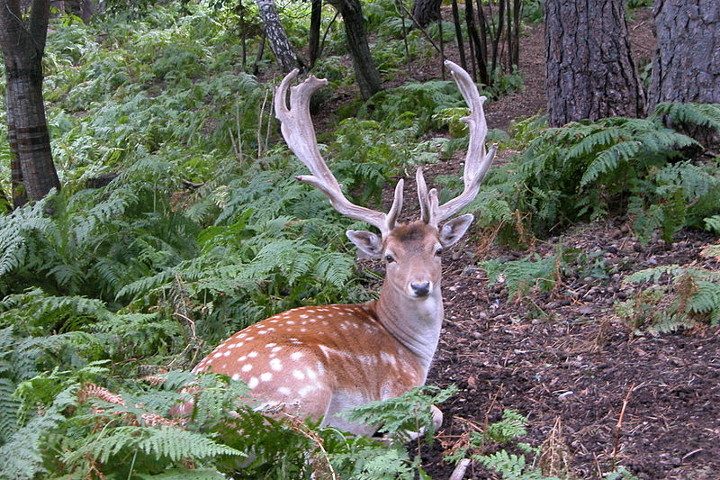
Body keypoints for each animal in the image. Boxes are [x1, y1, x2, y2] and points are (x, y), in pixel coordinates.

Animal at [191, 60, 496, 436]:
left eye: (438, 250)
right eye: (389, 257)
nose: (421, 285)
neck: (412, 351)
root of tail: (183, 410)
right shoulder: (398, 389)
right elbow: (431, 416)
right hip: (303, 385)